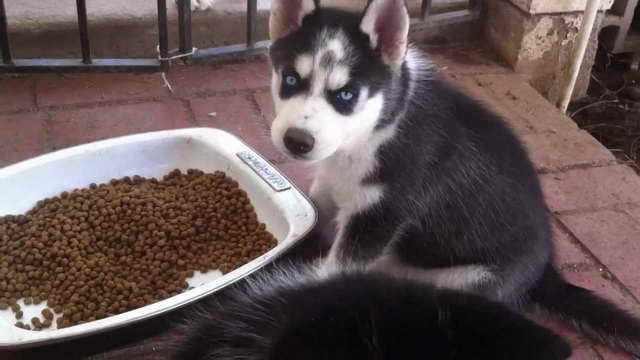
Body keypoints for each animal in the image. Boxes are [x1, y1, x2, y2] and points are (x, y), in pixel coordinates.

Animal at [264, 0, 640, 354]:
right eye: (290, 79)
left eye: (346, 94)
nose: (297, 141)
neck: (378, 127)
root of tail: (545, 271)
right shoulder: (330, 183)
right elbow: (314, 209)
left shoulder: (379, 216)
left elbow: (334, 270)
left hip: (466, 280)